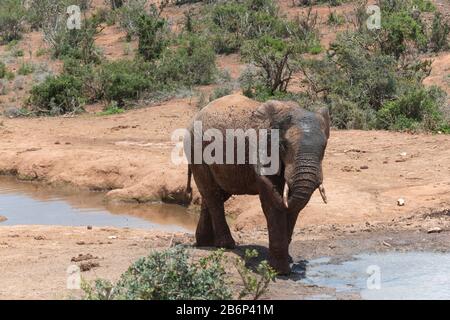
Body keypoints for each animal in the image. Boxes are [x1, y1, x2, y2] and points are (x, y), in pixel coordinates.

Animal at [184, 94, 330, 274]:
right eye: (283, 146)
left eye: (324, 147)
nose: (302, 263)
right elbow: (270, 204)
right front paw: (280, 271)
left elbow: (293, 206)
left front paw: (287, 261)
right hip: (196, 150)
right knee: (212, 194)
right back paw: (226, 245)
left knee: (213, 195)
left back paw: (205, 243)